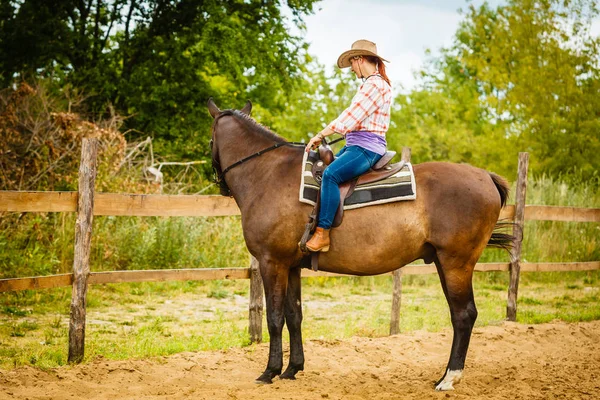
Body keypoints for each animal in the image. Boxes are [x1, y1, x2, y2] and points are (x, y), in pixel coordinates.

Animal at [207, 99, 516, 390]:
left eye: (210, 138)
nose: (219, 184)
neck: (268, 174)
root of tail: (485, 176)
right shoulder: (291, 265)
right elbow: (294, 315)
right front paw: (292, 369)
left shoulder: (272, 262)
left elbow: (274, 318)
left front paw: (269, 372)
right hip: (444, 262)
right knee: (459, 314)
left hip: (456, 263)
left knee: (464, 315)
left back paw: (449, 378)